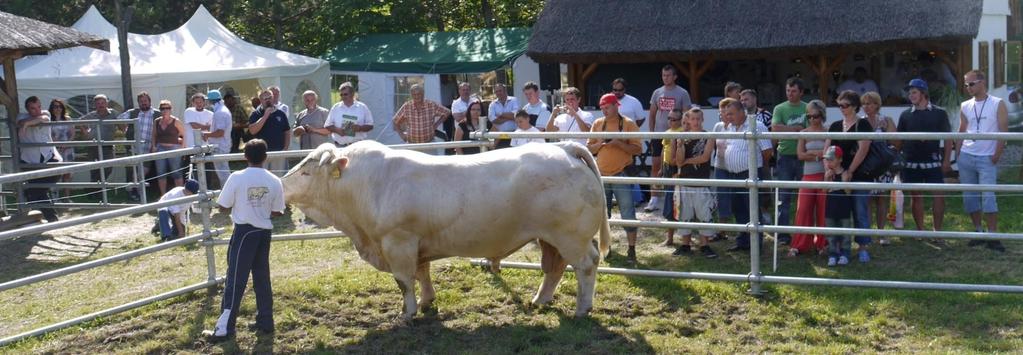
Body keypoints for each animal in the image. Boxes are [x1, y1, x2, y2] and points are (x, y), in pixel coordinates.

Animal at [284, 141, 609, 323]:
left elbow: (404, 281)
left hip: (572, 236)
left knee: (586, 265)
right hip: (550, 238)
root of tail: (564, 148)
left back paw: (583, 309)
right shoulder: (415, 243)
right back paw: (540, 300)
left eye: (306, 172)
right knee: (554, 267)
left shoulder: (397, 241)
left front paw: (407, 313)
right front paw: (427, 301)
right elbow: (422, 272)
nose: (282, 183)